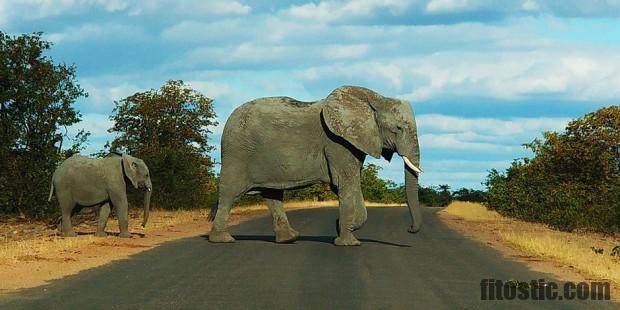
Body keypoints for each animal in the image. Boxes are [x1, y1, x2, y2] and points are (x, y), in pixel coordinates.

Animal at [211, 86, 424, 246]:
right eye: (398, 129)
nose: (410, 229)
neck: (376, 100)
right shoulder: (337, 142)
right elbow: (345, 183)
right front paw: (347, 242)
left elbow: (352, 184)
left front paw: (343, 228)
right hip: (237, 152)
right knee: (230, 193)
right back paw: (222, 239)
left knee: (272, 194)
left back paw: (289, 239)